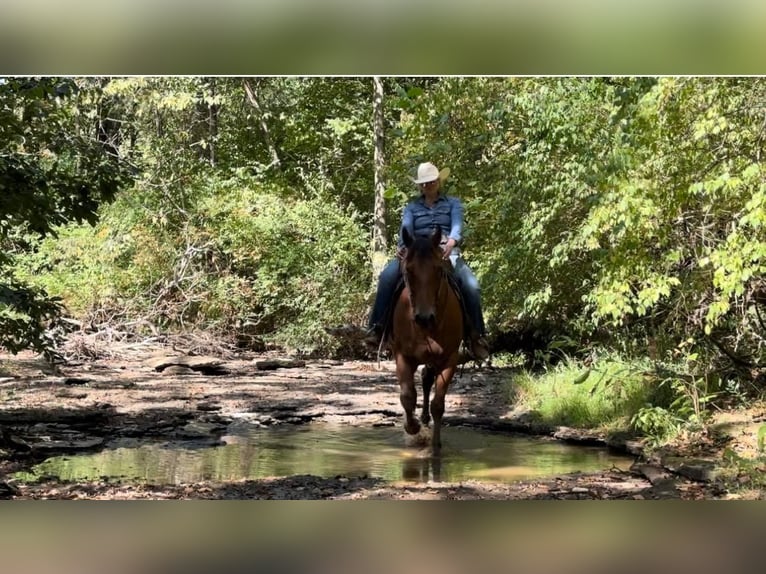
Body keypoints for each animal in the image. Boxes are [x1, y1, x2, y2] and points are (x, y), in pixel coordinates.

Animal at [390, 226, 462, 454]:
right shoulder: (402, 356)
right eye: (408, 271)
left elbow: (438, 404)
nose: (424, 317)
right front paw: (412, 427)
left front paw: (435, 445)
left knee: (427, 378)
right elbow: (407, 396)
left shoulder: (450, 358)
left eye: (438, 270)